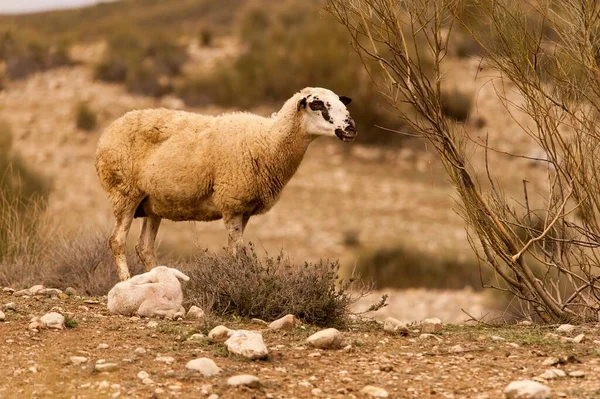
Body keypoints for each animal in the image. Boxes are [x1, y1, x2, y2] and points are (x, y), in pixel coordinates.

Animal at [94, 87, 356, 282]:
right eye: (317, 104)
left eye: (340, 102)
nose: (351, 128)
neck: (269, 141)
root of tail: (107, 132)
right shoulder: (231, 203)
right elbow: (236, 253)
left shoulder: (245, 209)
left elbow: (235, 251)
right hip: (125, 192)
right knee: (117, 241)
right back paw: (126, 282)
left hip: (152, 203)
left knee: (145, 247)